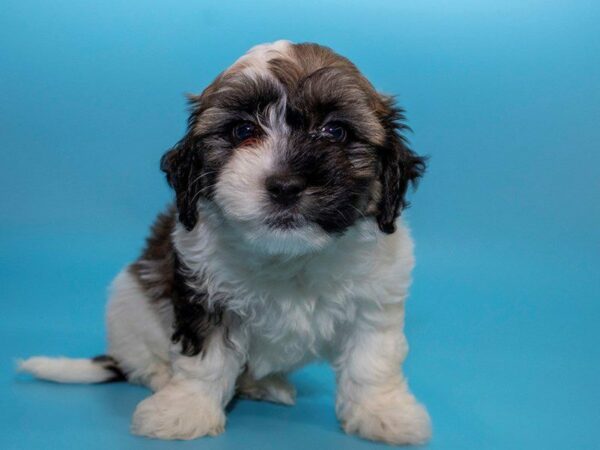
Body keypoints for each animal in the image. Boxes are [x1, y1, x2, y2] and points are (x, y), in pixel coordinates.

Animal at [18, 40, 432, 444]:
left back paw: (265, 385)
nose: (285, 185)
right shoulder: (204, 293)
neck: (291, 256)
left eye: (336, 132)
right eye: (242, 131)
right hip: (127, 303)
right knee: (140, 361)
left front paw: (383, 413)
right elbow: (205, 360)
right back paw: (163, 377)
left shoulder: (374, 300)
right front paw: (183, 410)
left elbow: (371, 361)